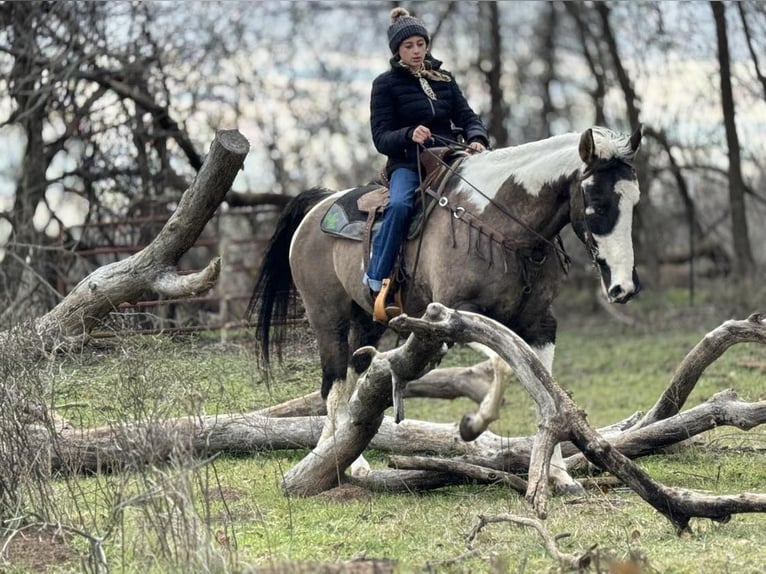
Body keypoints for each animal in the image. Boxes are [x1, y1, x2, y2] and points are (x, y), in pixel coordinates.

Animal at [249, 125, 644, 490]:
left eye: (634, 203)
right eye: (597, 204)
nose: (623, 287)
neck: (502, 226)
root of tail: (320, 204)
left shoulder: (541, 324)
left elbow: (545, 390)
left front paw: (558, 474)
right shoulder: (456, 316)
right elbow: (503, 365)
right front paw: (473, 426)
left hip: (367, 322)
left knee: (352, 377)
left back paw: (338, 454)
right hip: (327, 318)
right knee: (332, 385)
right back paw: (344, 462)